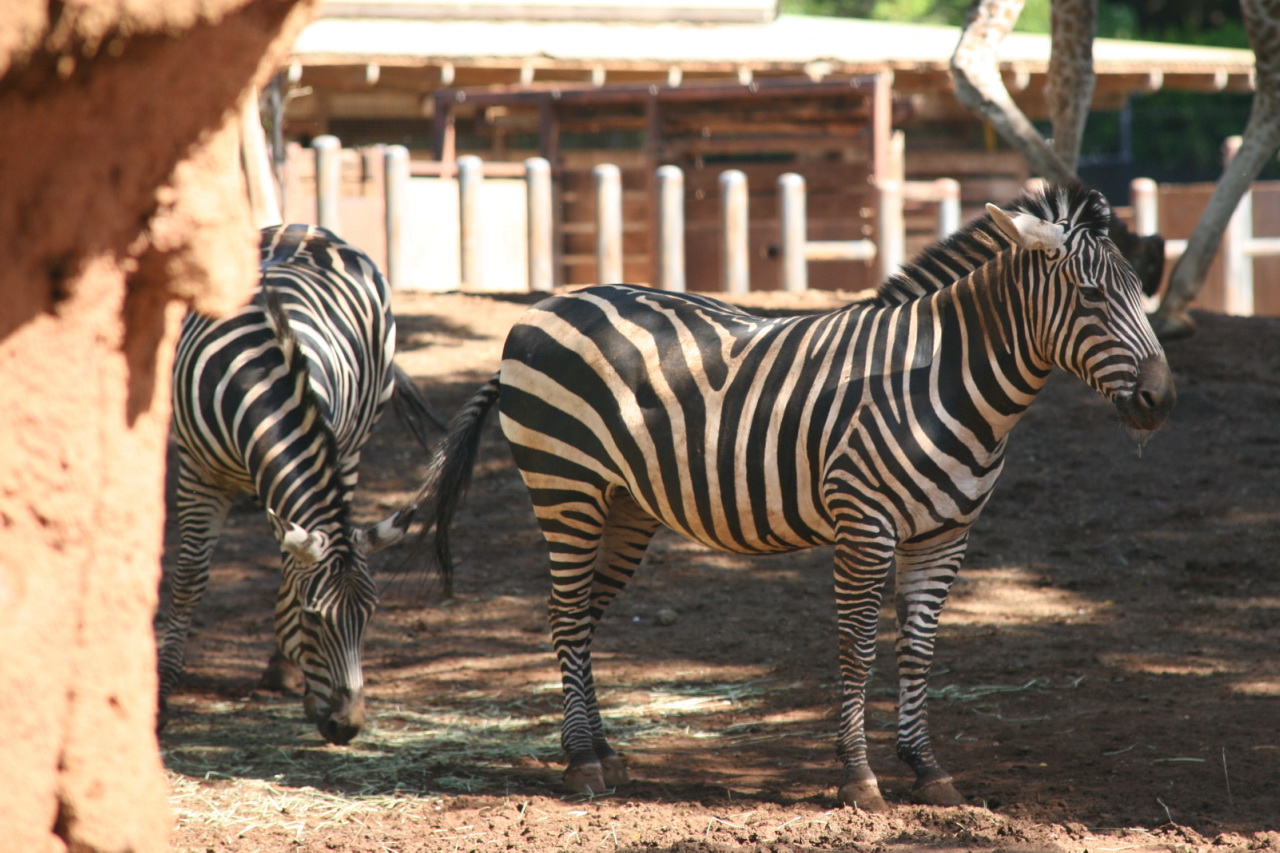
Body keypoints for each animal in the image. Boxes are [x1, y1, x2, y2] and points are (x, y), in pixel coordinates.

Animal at [160, 222, 427, 742]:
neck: (258, 381)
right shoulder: (198, 472)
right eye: (313, 617)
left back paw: (282, 668)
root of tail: (306, 228)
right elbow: (189, 578)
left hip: (354, 445)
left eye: (370, 616)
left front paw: (291, 668)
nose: (347, 728)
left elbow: (289, 566)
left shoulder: (326, 455)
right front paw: (160, 694)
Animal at [414, 183, 1172, 809]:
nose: (1161, 401)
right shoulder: (865, 525)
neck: (941, 377)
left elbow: (920, 649)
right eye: (1091, 296)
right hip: (565, 487)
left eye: (1144, 293)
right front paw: (860, 779)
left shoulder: (945, 536)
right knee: (567, 615)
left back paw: (602, 750)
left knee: (585, 616)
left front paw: (927, 770)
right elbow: (858, 647)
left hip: (624, 505)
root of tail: (543, 308)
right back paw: (580, 764)